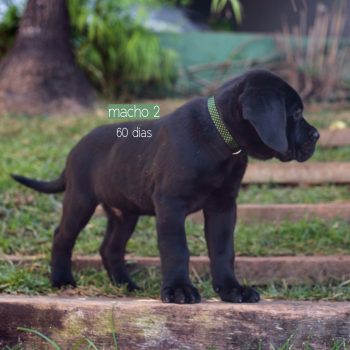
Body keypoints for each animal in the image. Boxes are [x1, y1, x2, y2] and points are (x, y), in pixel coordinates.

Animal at [11, 69, 320, 304]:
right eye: (295, 113)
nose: (316, 135)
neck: (220, 139)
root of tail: (74, 149)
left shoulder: (223, 206)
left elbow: (223, 250)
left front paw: (232, 290)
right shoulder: (171, 204)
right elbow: (176, 249)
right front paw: (179, 290)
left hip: (125, 213)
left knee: (110, 247)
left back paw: (126, 284)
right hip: (80, 200)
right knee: (62, 236)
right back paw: (62, 280)